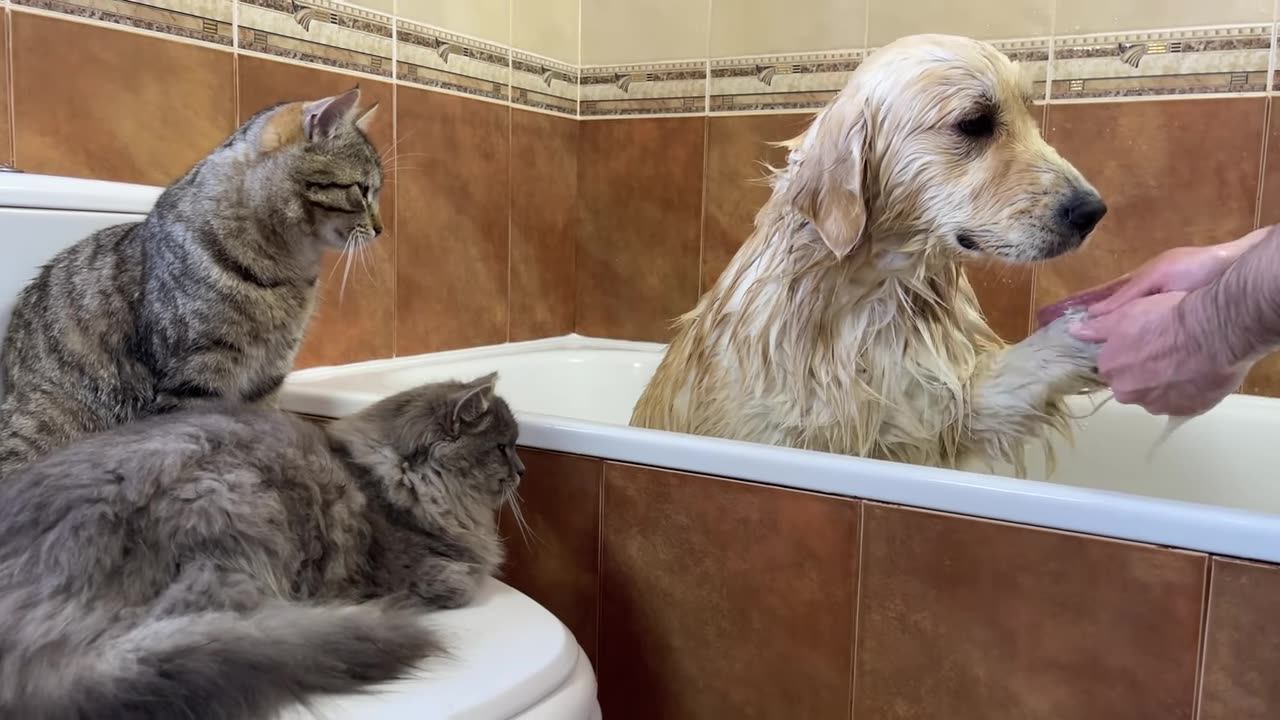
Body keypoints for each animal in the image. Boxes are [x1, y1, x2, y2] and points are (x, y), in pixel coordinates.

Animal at [0, 85, 384, 476]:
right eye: (362, 189)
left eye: (376, 191)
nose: (380, 228)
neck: (283, 271)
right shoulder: (195, 375)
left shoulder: (269, 373)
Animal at [0, 368, 522, 717]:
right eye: (503, 447)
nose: (522, 469)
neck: (394, 479)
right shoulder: (416, 568)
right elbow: (458, 583)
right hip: (233, 507)